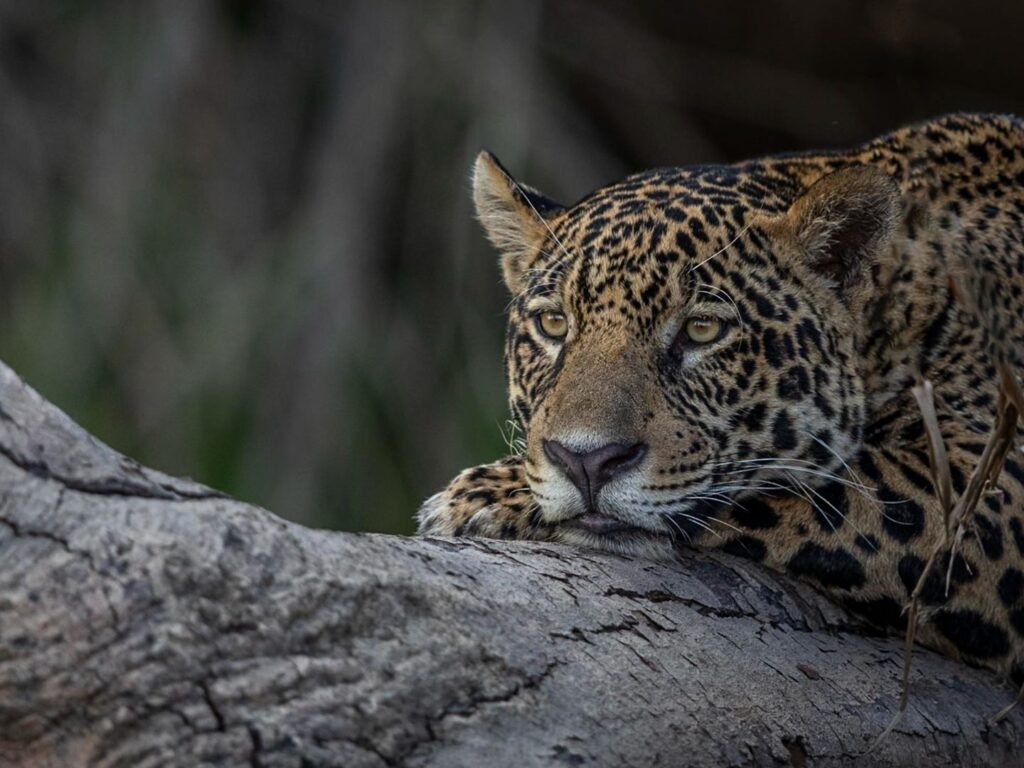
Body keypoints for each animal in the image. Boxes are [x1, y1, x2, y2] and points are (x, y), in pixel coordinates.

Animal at [417, 113, 1024, 686]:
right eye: (554, 324)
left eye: (702, 331)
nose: (586, 462)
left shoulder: (996, 488)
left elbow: (812, 492)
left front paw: (486, 496)